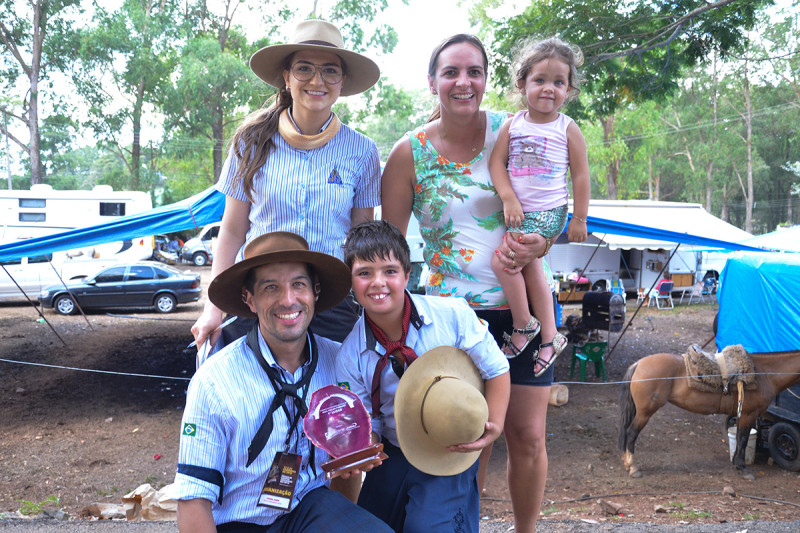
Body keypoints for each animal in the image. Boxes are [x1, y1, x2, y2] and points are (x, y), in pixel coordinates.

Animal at [620, 350, 800, 478]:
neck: (765, 374)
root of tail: (639, 364)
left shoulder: (742, 415)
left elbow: (740, 438)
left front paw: (736, 463)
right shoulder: (749, 414)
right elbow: (743, 439)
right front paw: (742, 468)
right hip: (645, 412)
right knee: (631, 432)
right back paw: (633, 467)